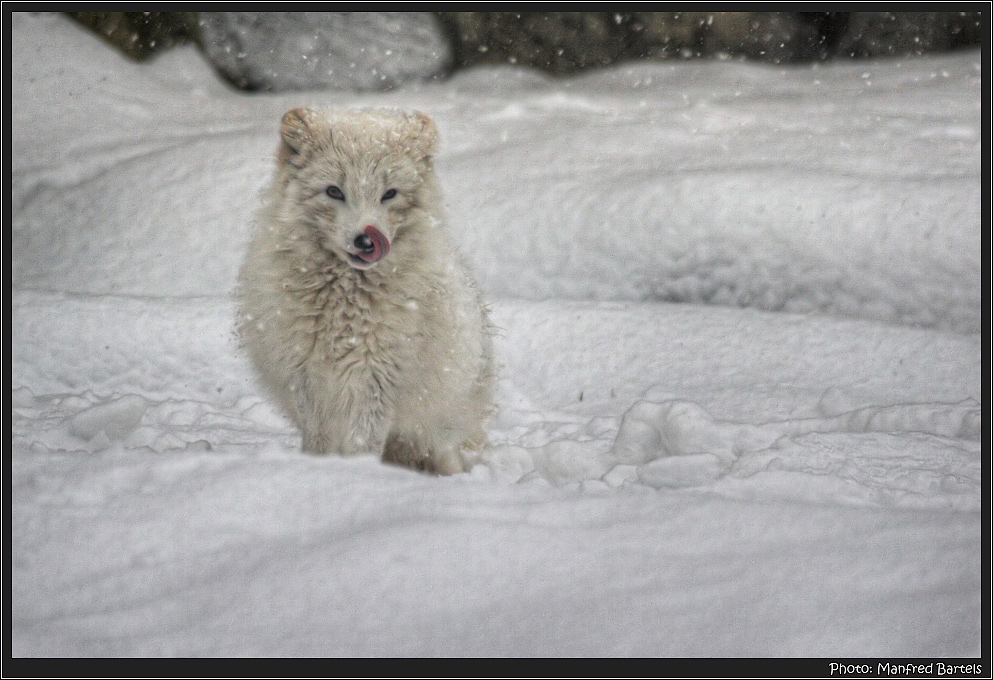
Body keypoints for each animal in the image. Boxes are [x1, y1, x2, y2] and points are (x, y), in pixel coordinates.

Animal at [236, 109, 492, 476]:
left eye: (389, 194)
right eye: (334, 191)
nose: (366, 241)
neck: (345, 301)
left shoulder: (376, 379)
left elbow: (363, 444)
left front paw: (360, 476)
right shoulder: (309, 378)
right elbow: (319, 441)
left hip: (438, 425)